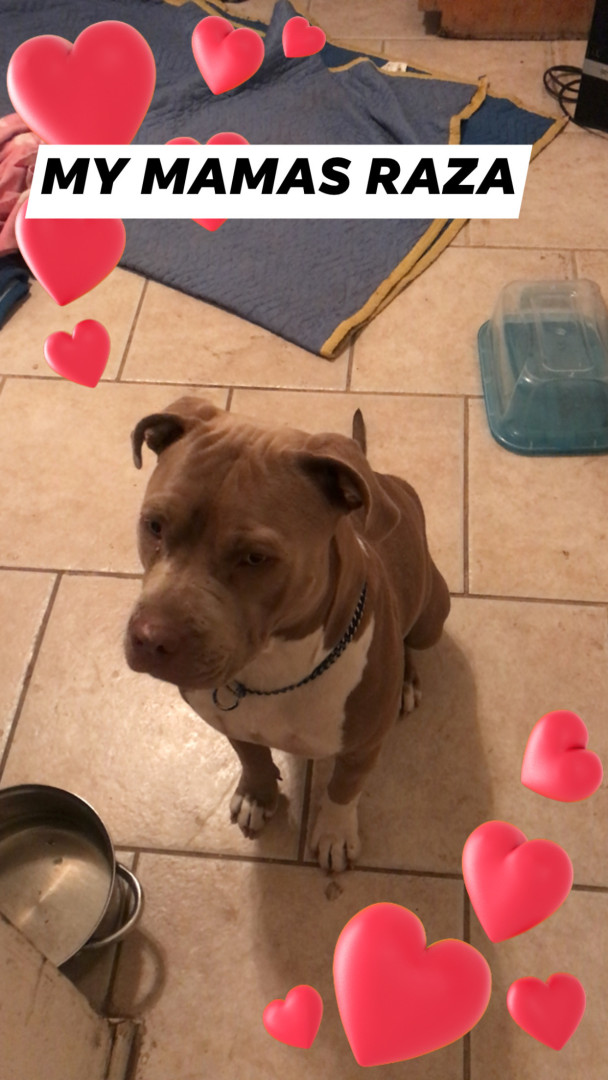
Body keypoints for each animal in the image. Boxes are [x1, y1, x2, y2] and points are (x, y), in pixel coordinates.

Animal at [125, 397, 450, 871]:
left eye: (255, 557)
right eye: (153, 525)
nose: (150, 638)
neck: (273, 670)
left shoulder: (363, 746)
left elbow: (343, 788)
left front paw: (334, 833)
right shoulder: (230, 721)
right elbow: (252, 756)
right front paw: (258, 796)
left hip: (432, 614)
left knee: (414, 642)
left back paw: (407, 681)